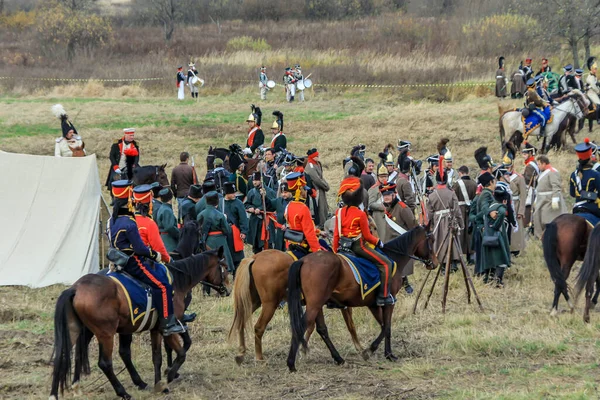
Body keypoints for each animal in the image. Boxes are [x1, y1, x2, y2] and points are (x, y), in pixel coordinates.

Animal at [48, 248, 227, 398]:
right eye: (223, 268)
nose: (226, 290)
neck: (177, 281)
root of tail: (76, 288)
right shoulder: (168, 328)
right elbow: (182, 353)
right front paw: (168, 377)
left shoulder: (156, 330)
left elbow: (157, 357)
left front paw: (160, 383)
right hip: (106, 333)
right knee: (105, 363)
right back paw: (123, 392)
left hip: (79, 330)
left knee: (65, 356)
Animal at [227, 250, 364, 366]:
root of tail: (255, 257)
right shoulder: (340, 305)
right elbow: (350, 326)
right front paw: (359, 347)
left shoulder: (315, 305)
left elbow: (311, 327)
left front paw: (302, 350)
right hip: (270, 304)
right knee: (259, 327)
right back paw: (259, 357)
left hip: (254, 302)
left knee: (241, 321)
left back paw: (241, 352)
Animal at [286, 225, 436, 372]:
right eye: (432, 240)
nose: (434, 263)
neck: (393, 257)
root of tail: (304, 260)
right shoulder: (390, 301)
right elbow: (387, 326)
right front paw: (379, 352)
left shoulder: (373, 304)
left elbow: (383, 326)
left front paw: (381, 352)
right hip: (315, 305)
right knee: (302, 325)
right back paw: (291, 363)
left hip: (317, 305)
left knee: (322, 329)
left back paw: (338, 359)